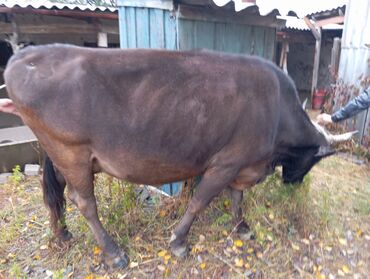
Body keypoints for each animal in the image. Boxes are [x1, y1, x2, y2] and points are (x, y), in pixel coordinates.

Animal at [2, 44, 356, 270]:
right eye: (315, 159)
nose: (293, 183)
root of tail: (25, 55)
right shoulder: (226, 162)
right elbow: (200, 201)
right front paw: (178, 241)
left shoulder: (243, 164)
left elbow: (237, 197)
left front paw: (241, 226)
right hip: (71, 151)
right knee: (84, 201)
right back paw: (113, 253)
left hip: (59, 153)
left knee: (56, 192)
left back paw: (60, 234)